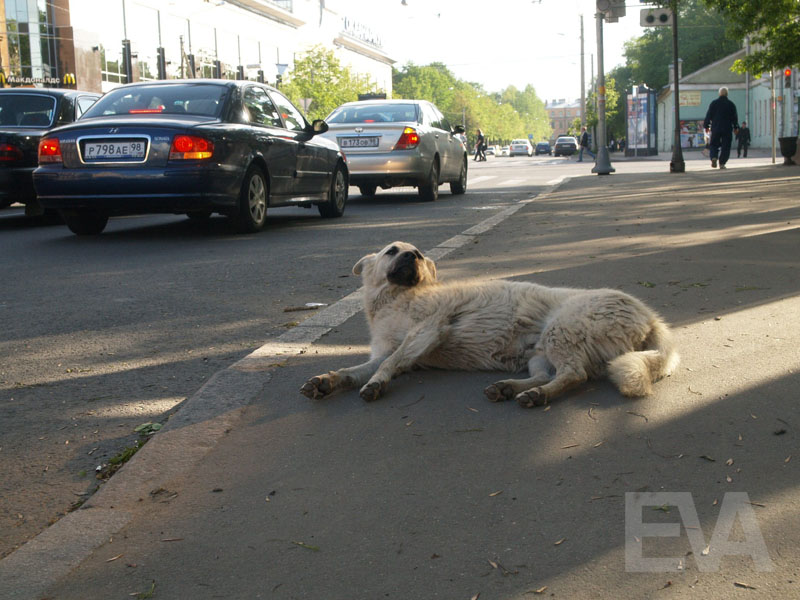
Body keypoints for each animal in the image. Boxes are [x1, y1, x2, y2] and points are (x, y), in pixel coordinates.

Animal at [304, 240, 680, 408]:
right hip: (540, 352)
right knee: (548, 374)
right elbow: (353, 371)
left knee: (574, 375)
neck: (399, 297)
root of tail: (649, 315)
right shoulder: (384, 351)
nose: (412, 255)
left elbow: (389, 365)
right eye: (392, 251)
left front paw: (377, 385)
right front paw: (327, 381)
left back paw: (537, 396)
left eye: (420, 255)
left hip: (561, 331)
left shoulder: (426, 332)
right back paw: (510, 388)